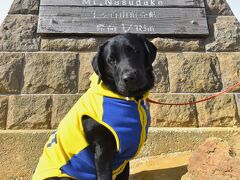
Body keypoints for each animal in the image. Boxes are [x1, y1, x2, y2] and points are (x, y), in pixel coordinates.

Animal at [34, 33, 158, 179]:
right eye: (111, 60)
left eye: (134, 51)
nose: (129, 78)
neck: (131, 99)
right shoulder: (102, 151)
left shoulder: (123, 160)